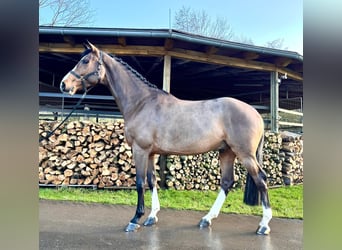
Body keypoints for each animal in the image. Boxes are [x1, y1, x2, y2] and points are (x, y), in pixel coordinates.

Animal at [59, 41, 272, 234]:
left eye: (85, 61)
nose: (64, 84)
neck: (141, 103)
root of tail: (256, 113)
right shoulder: (151, 153)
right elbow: (152, 181)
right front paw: (152, 216)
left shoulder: (140, 150)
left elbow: (140, 183)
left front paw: (135, 219)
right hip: (226, 152)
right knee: (227, 182)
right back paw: (206, 219)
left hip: (244, 154)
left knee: (261, 179)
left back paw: (263, 225)